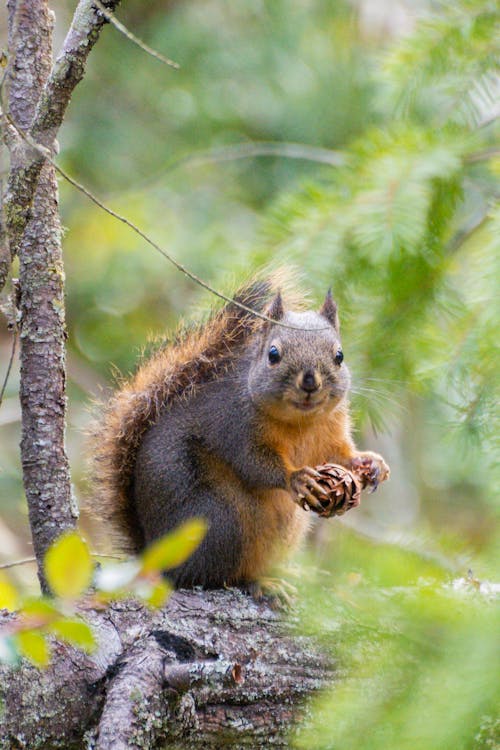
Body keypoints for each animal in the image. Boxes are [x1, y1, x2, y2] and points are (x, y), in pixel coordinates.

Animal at [89, 272, 390, 592]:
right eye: (273, 354)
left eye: (339, 356)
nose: (310, 381)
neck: (301, 422)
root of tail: (156, 557)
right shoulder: (235, 427)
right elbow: (253, 464)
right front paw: (296, 478)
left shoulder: (331, 432)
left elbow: (338, 455)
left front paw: (370, 463)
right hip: (220, 521)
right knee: (219, 575)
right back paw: (262, 584)